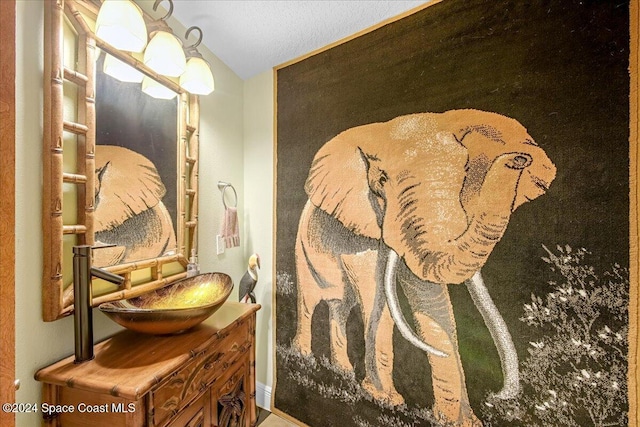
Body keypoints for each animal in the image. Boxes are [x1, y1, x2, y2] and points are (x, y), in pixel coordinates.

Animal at [292, 111, 556, 427]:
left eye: (466, 174)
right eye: (381, 180)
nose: (518, 158)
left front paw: (459, 423)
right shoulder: (359, 227)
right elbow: (378, 295)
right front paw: (386, 400)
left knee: (341, 306)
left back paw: (341, 371)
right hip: (303, 250)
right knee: (310, 301)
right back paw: (304, 358)